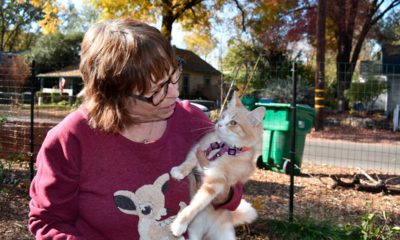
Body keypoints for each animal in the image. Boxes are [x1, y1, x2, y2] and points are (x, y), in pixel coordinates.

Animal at [170, 91, 266, 239]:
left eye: (233, 123)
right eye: (223, 116)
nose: (219, 125)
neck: (223, 147)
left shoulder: (216, 182)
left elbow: (197, 205)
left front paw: (179, 224)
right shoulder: (199, 148)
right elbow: (189, 162)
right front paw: (180, 171)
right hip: (194, 234)